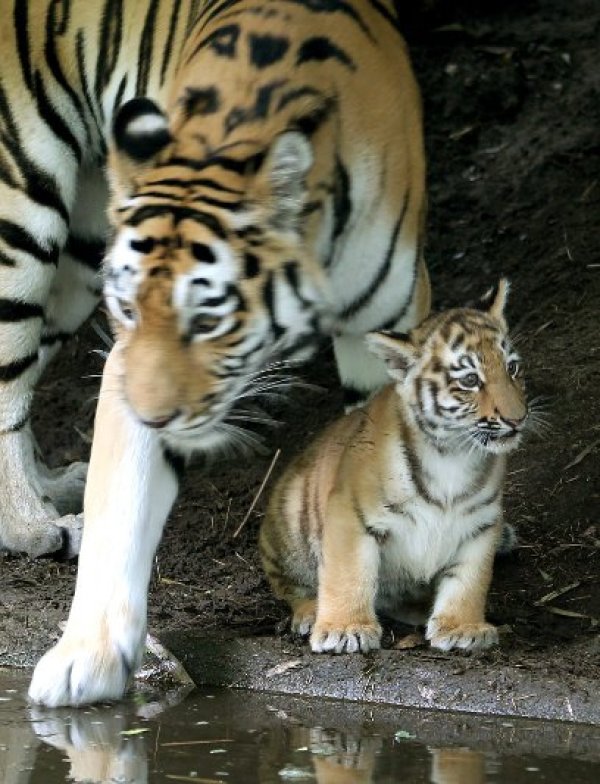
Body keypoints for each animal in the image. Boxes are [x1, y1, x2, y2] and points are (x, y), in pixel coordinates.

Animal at [27, 0, 432, 708]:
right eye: (129, 309)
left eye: (208, 318)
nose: (153, 417)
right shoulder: (126, 365)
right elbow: (120, 504)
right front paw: (87, 657)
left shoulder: (396, 322)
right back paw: (28, 524)